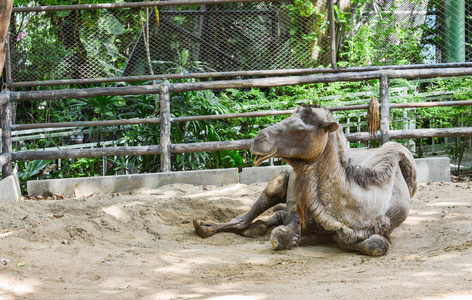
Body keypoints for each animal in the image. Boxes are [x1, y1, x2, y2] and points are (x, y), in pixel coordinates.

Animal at [194, 105, 414, 255]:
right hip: (278, 182)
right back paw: (206, 226)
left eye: (299, 130)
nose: (258, 139)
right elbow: (281, 236)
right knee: (246, 216)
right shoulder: (297, 209)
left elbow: (377, 244)